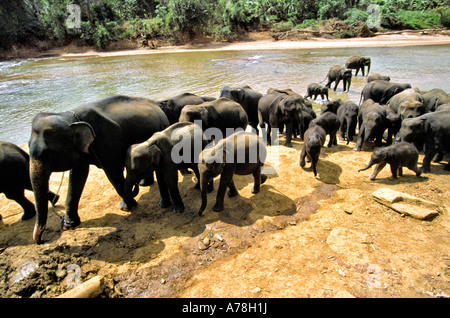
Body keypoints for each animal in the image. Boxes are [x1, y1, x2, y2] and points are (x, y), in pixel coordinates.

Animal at [29, 94, 171, 243]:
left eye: (50, 154)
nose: (41, 241)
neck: (69, 117)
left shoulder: (107, 141)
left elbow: (112, 172)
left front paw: (127, 207)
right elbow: (78, 175)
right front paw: (69, 225)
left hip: (162, 125)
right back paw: (145, 184)